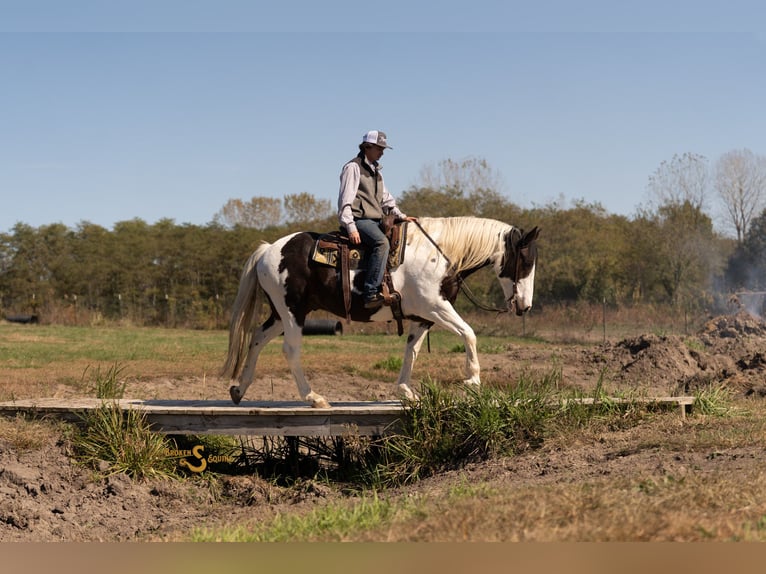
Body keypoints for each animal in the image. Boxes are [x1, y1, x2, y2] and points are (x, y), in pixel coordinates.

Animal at [222, 216, 540, 408]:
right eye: (525, 261)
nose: (525, 306)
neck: (440, 254)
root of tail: (267, 251)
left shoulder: (423, 317)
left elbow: (411, 351)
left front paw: (405, 390)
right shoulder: (435, 306)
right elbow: (469, 333)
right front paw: (472, 380)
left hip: (282, 313)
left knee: (257, 338)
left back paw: (239, 389)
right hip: (292, 312)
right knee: (289, 350)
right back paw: (313, 397)